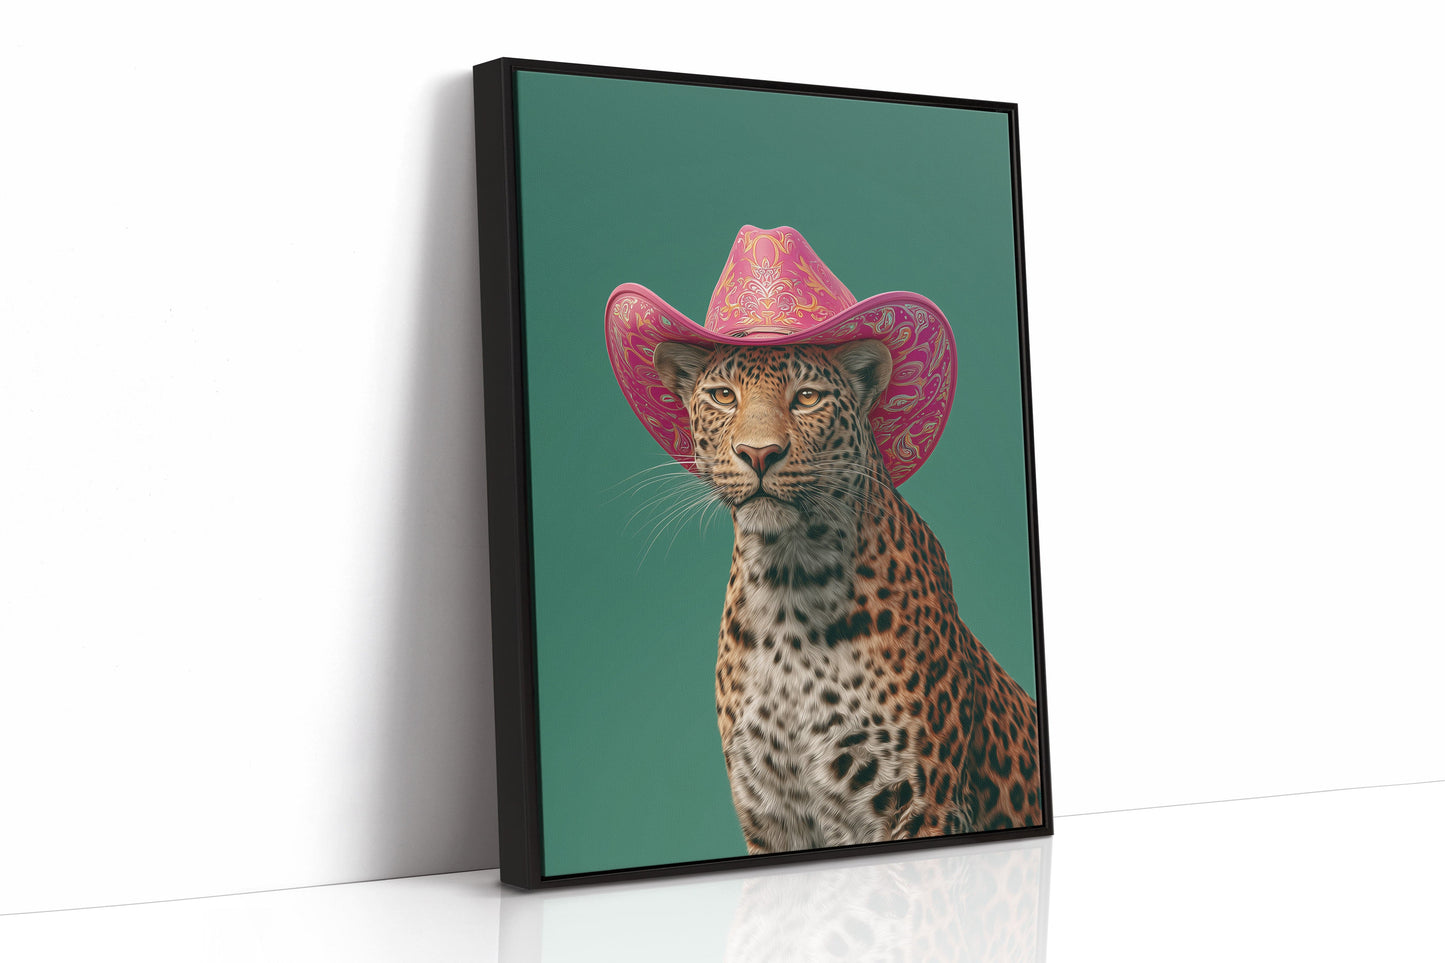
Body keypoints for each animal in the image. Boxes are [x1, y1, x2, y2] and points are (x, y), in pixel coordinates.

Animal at [652, 338, 1043, 855]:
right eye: (723, 396)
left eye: (807, 397)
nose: (758, 454)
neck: (788, 584)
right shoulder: (770, 815)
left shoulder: (922, 802)